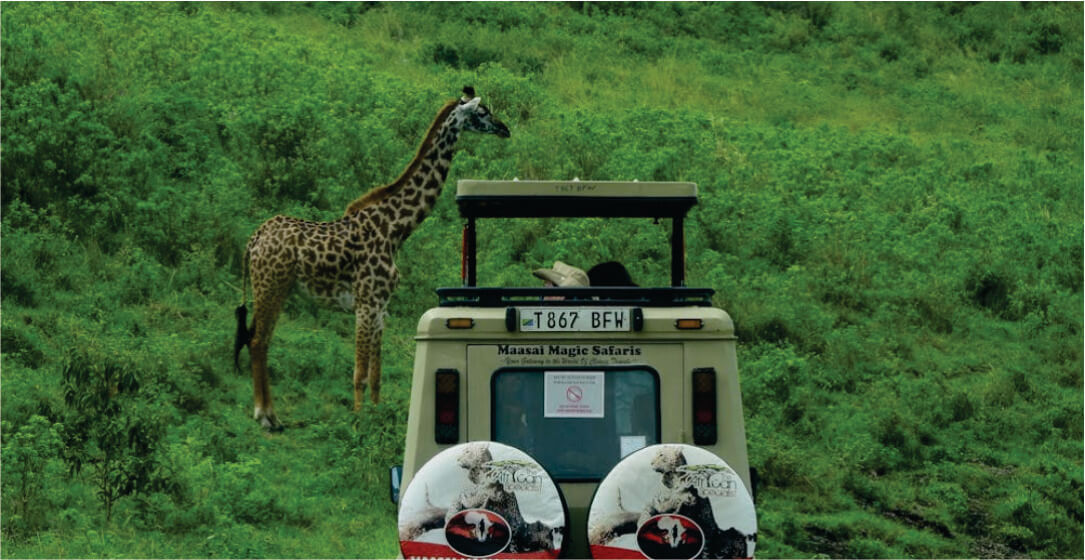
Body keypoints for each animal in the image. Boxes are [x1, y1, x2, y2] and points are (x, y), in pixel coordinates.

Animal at [234, 87, 509, 430]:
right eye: (483, 112)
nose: (505, 128)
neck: (395, 228)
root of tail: (253, 241)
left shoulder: (381, 306)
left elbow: (376, 375)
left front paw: (377, 417)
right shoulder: (365, 303)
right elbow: (359, 373)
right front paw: (357, 421)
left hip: (276, 289)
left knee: (260, 340)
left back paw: (270, 414)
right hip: (271, 286)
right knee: (258, 341)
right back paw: (266, 416)